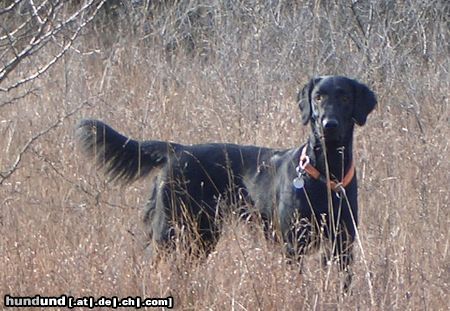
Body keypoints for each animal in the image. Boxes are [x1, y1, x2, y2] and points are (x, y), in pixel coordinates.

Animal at [76, 75, 376, 290]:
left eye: (345, 96)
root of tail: (177, 150)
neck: (327, 171)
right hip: (168, 229)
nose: (329, 124)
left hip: (203, 234)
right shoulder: (293, 243)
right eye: (318, 97)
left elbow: (342, 283)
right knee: (151, 263)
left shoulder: (343, 243)